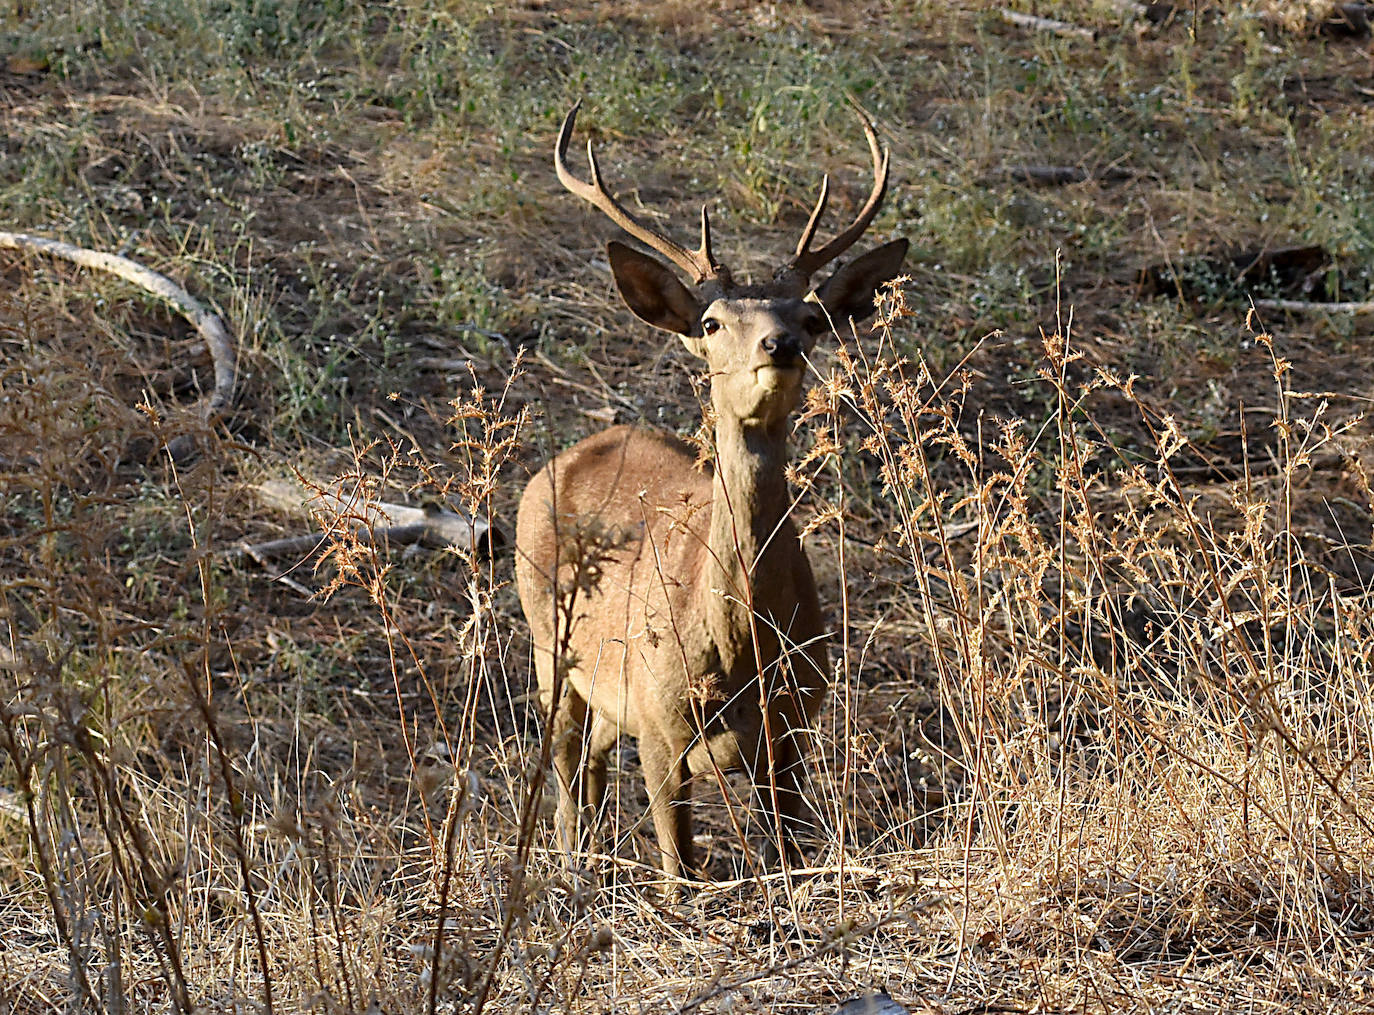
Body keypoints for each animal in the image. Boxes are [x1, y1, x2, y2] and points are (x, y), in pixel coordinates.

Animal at [516, 99, 912, 884]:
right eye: (711, 322)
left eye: (811, 318)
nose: (778, 346)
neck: (740, 649)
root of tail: (569, 455)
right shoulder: (662, 725)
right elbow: (680, 873)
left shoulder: (792, 724)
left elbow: (788, 852)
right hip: (550, 646)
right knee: (566, 772)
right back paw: (572, 868)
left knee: (592, 769)